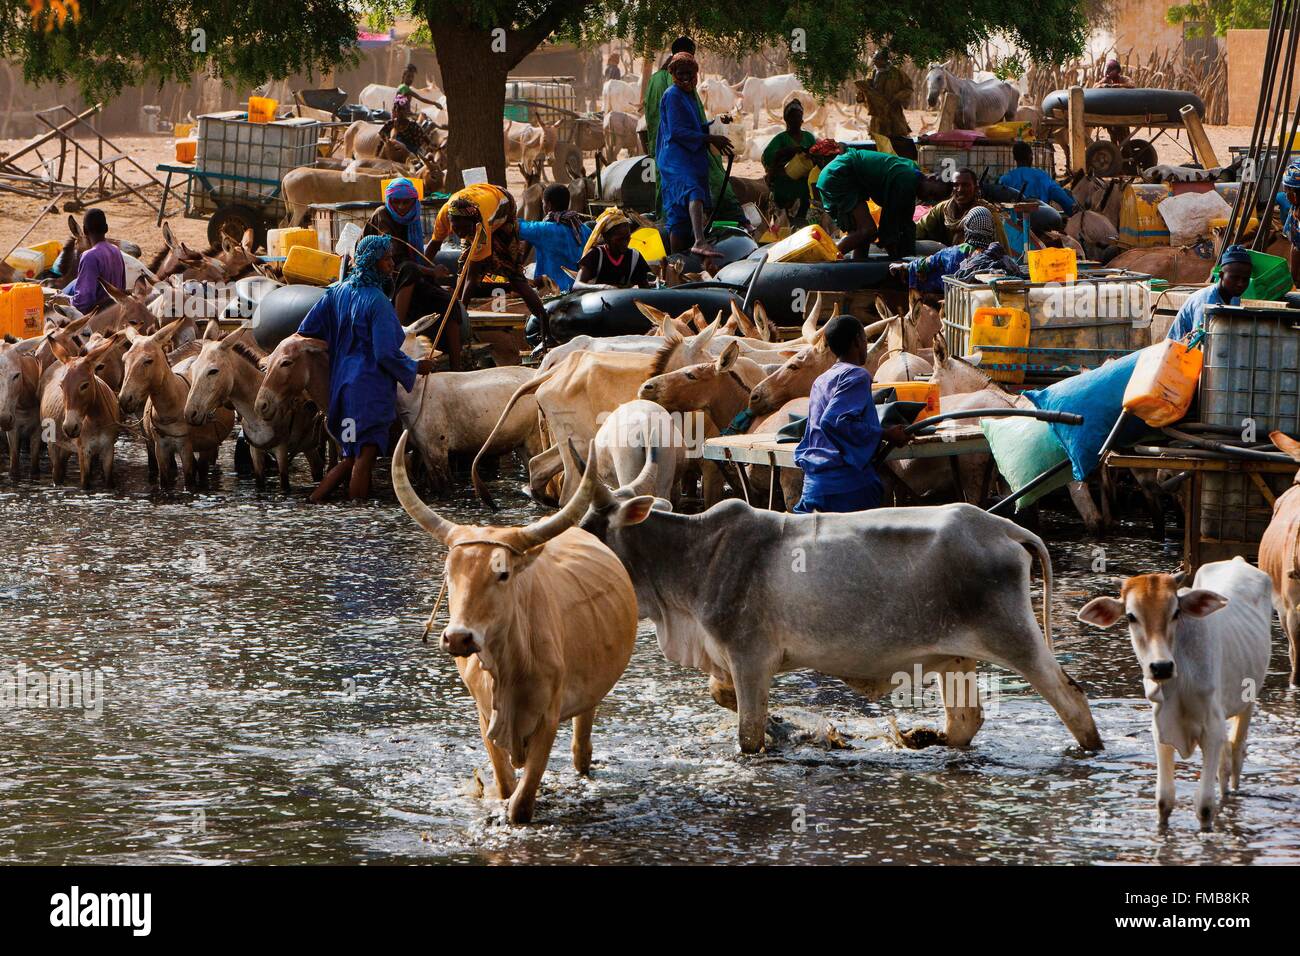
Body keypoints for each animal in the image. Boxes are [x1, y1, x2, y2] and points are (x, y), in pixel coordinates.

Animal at [395, 434, 639, 822]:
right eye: (450, 573)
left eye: (503, 574)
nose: (458, 638)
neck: (509, 667)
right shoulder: (485, 716)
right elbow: (507, 786)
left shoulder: (548, 718)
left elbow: (521, 806)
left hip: (588, 700)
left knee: (581, 748)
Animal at [574, 455, 1102, 754]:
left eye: (591, 529)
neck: (694, 554)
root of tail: (1002, 526)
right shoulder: (729, 662)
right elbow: (722, 696)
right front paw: (787, 725)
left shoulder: (749, 657)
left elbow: (748, 734)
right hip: (956, 656)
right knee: (965, 722)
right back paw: (922, 738)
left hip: (1014, 637)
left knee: (1072, 699)